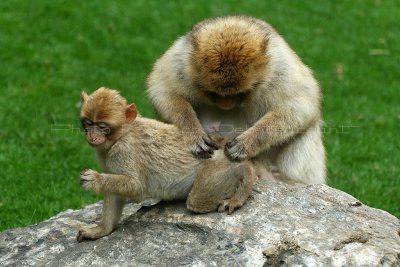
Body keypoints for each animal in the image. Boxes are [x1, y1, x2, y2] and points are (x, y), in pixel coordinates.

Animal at [76, 88, 255, 243]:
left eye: (103, 127)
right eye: (88, 123)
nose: (92, 136)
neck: (121, 135)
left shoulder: (124, 150)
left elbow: (136, 187)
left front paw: (95, 179)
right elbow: (114, 192)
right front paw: (101, 230)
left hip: (217, 164)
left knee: (197, 200)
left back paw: (245, 175)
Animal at [147, 15, 324, 185]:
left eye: (241, 93)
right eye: (214, 93)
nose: (226, 104)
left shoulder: (281, 69)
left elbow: (298, 107)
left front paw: (246, 143)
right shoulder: (181, 61)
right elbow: (163, 91)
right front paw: (193, 133)